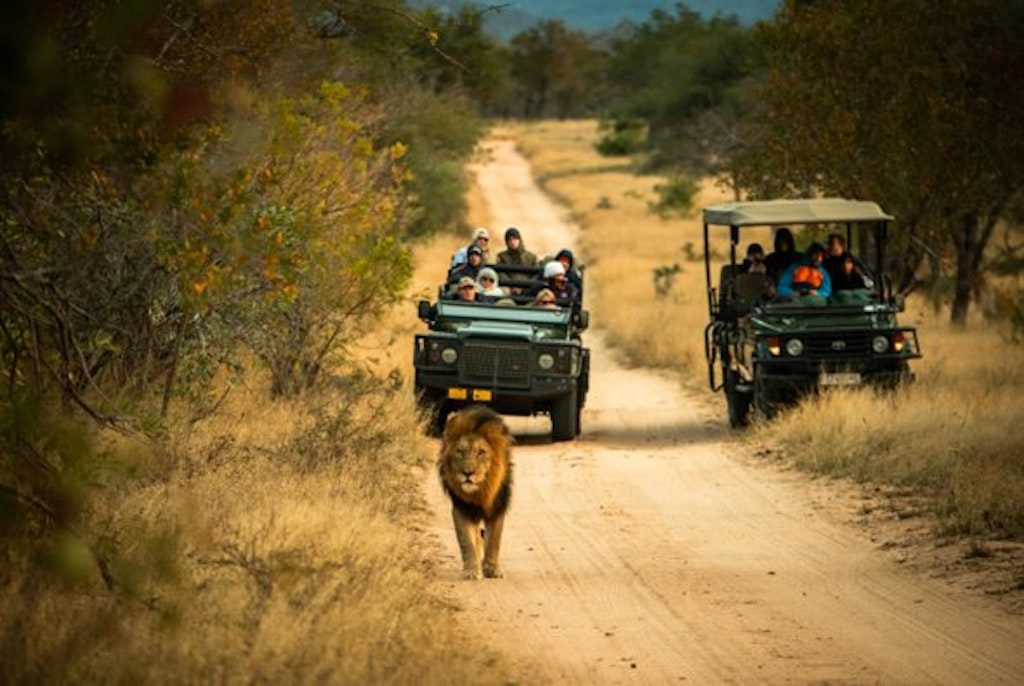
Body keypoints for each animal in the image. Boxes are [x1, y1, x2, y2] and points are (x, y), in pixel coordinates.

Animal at [437, 405, 512, 580]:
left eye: (481, 452)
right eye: (460, 452)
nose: (467, 473)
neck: (480, 492)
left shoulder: (498, 506)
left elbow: (494, 541)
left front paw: (492, 569)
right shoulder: (462, 508)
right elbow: (467, 541)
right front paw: (471, 570)